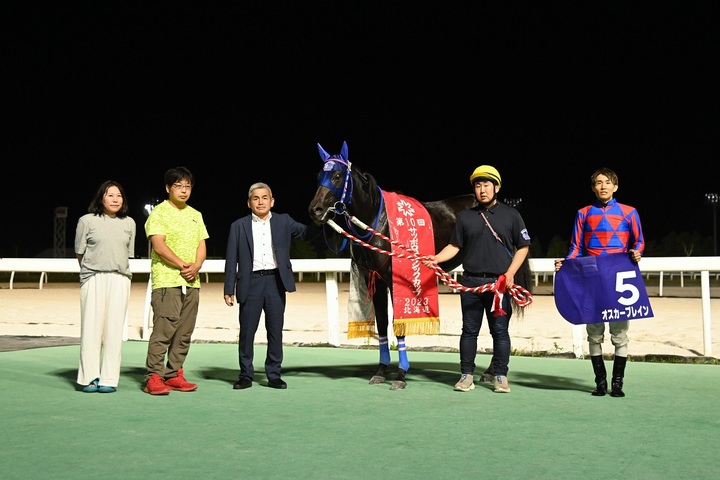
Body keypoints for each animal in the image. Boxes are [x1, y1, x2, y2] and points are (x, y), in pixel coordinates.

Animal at [307, 141, 531, 390]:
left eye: (337, 176)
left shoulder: (395, 279)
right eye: (319, 175)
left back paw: (493, 372)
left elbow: (399, 326)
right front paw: (381, 371)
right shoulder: (373, 278)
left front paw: (401, 375)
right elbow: (382, 323)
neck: (378, 220)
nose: (315, 210)